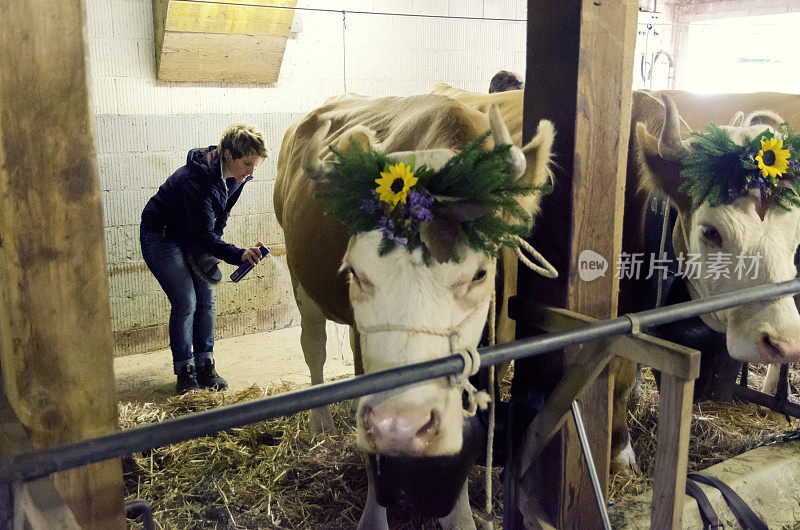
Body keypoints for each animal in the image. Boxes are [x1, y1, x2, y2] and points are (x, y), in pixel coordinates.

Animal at [272, 93, 552, 524]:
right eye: (354, 271)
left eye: (480, 273)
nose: (402, 424)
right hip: (299, 279)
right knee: (313, 346)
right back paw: (320, 426)